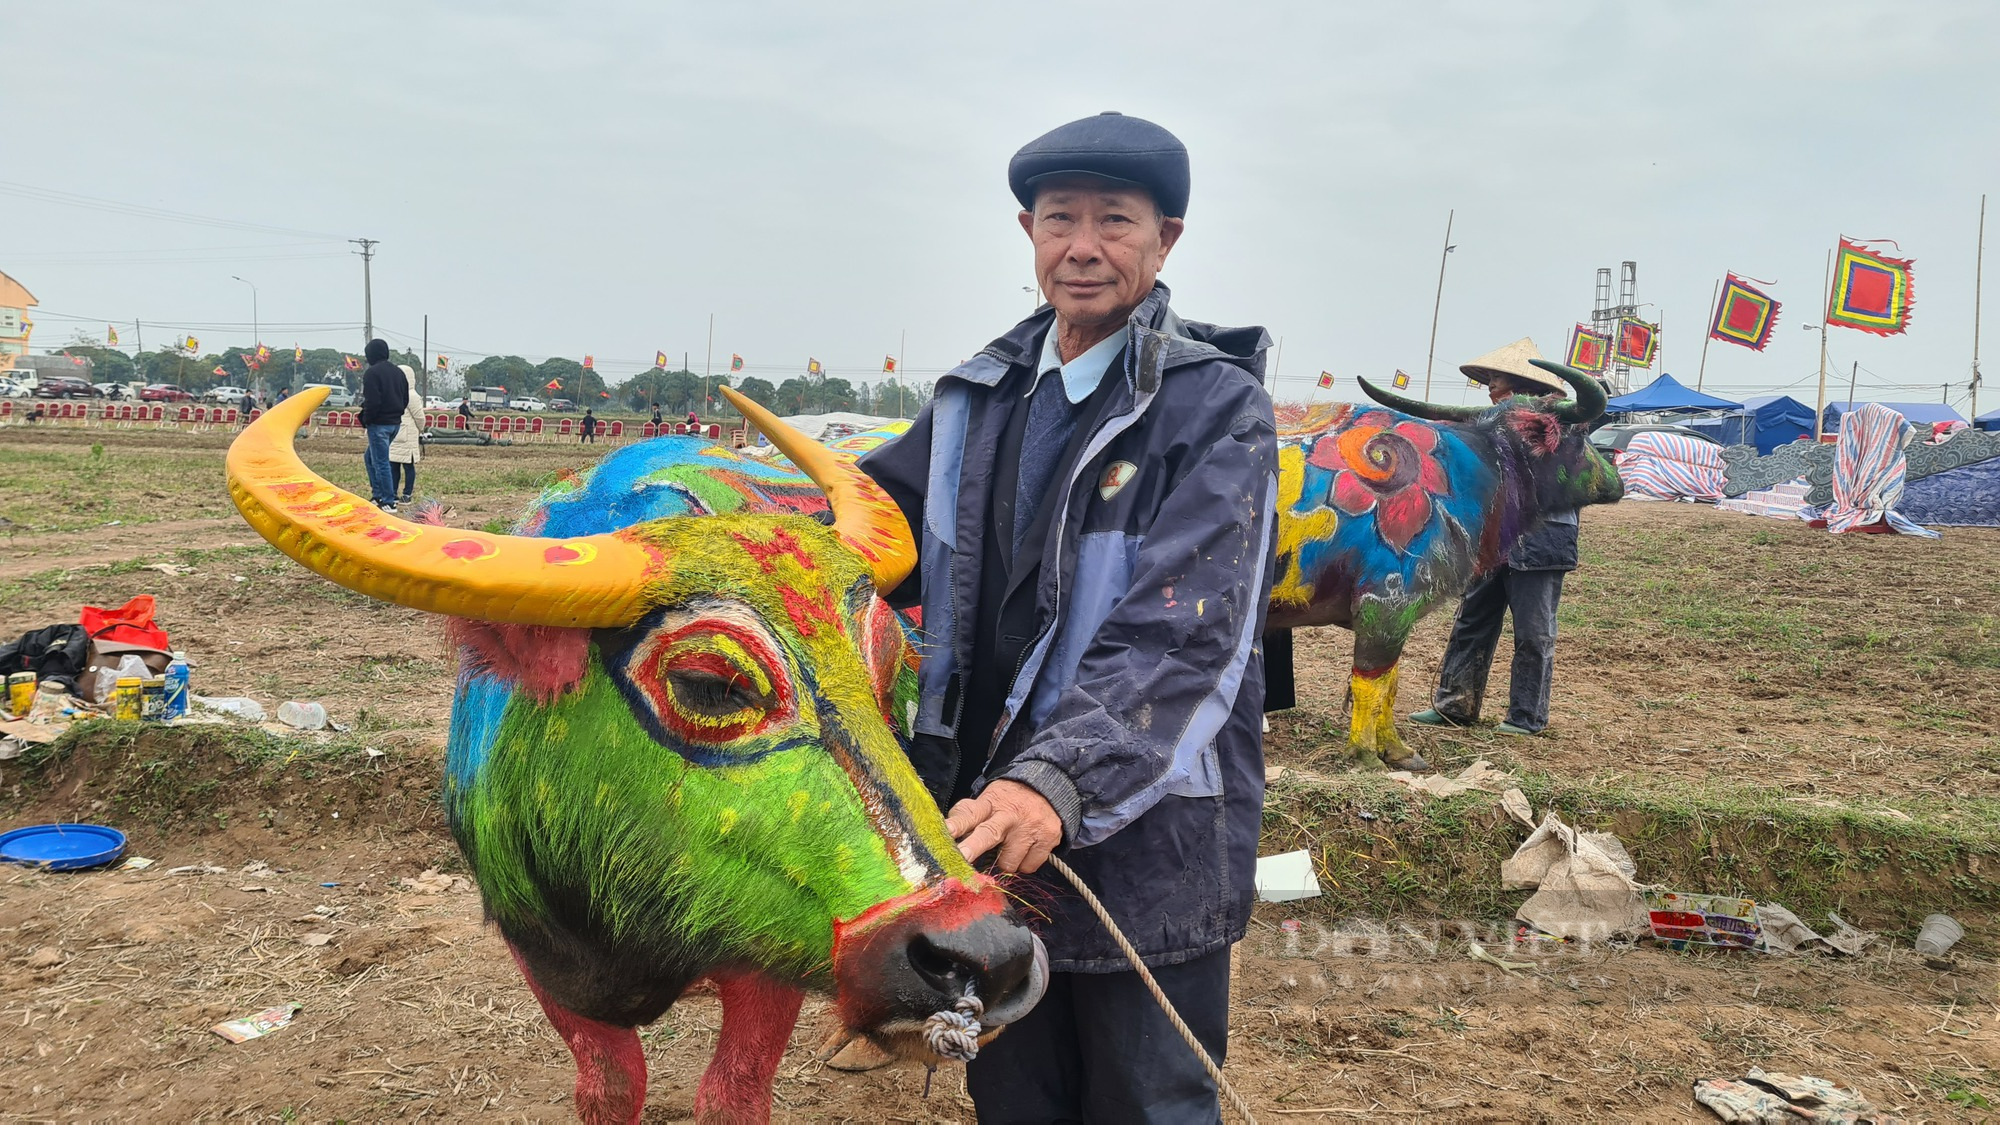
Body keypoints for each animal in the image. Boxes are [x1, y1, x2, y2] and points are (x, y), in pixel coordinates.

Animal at [225, 388, 1048, 1120]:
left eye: (885, 669)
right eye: (708, 683)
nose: (985, 952)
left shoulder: (771, 959)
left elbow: (732, 1094)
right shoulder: (546, 961)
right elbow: (610, 1087)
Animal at [1264, 364, 1624, 764]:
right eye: (1580, 434)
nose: (1617, 480)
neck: (1484, 472)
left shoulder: (1396, 618)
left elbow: (1391, 684)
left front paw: (1398, 750)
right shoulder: (1385, 607)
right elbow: (1370, 683)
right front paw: (1364, 753)